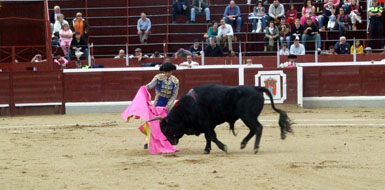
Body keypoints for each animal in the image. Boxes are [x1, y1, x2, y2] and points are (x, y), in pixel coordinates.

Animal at [152, 84, 292, 154]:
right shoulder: (208, 126)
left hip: (248, 116)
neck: (190, 105)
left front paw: (224, 147)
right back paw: (243, 144)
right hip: (248, 117)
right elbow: (208, 137)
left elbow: (212, 137)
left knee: (258, 128)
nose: (172, 142)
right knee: (254, 129)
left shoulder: (206, 124)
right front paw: (207, 150)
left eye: (166, 129)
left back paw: (255, 148)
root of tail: (256, 88)